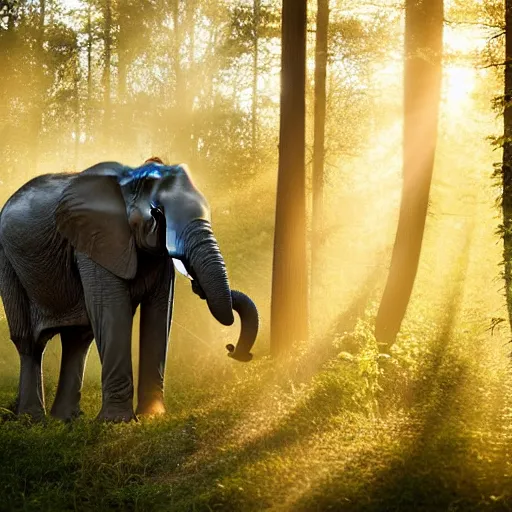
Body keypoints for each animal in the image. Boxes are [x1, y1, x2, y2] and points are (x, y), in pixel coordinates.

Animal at [0, 158, 258, 422]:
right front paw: (116, 422)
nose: (233, 350)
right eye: (158, 213)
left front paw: (152, 418)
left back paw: (65, 420)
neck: (132, 179)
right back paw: (33, 420)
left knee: (78, 339)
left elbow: (159, 311)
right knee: (30, 341)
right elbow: (112, 309)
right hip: (7, 262)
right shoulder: (97, 238)